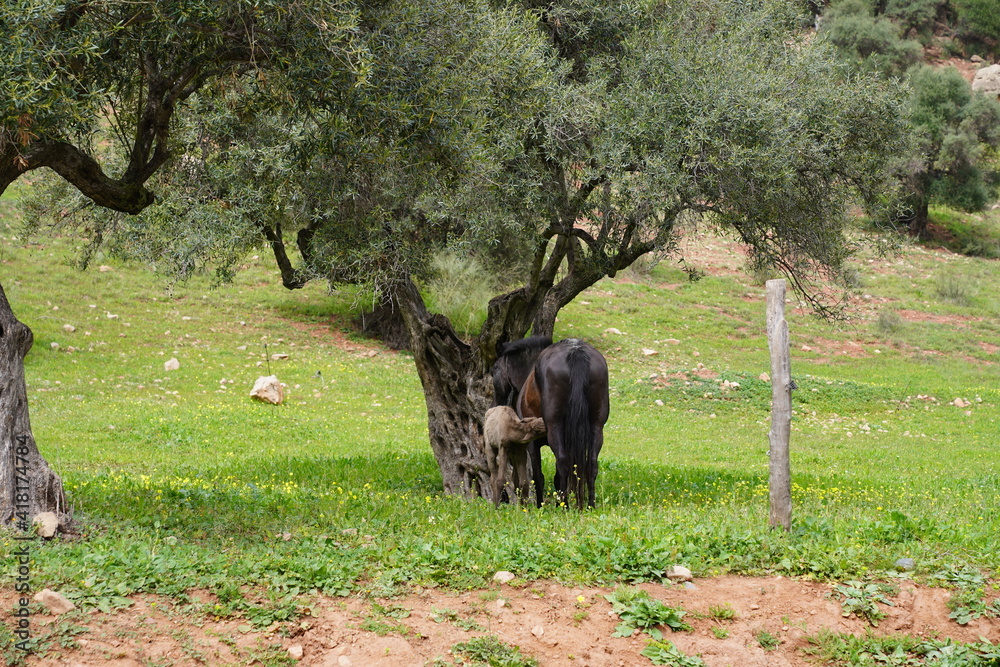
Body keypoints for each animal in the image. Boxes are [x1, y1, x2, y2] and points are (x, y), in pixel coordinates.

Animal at [517, 338, 609, 509]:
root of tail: (575, 351)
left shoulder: (532, 444)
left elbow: (538, 476)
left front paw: (540, 506)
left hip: (555, 429)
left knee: (563, 462)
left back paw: (564, 506)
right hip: (596, 427)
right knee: (592, 465)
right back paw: (590, 505)